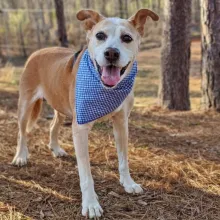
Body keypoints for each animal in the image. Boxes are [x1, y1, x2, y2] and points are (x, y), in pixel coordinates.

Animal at [12, 9, 159, 218]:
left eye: (127, 38)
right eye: (100, 35)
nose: (111, 53)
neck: (104, 88)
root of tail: (37, 51)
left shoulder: (121, 123)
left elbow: (124, 159)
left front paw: (128, 183)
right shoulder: (80, 128)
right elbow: (86, 174)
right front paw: (90, 204)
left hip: (61, 105)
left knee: (53, 125)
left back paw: (55, 148)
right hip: (25, 104)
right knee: (22, 132)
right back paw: (20, 156)